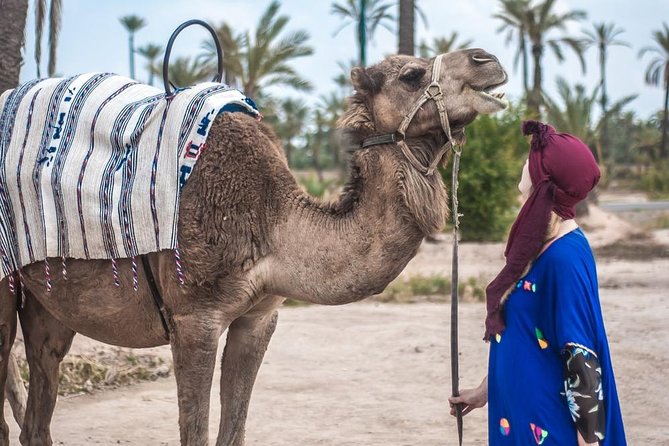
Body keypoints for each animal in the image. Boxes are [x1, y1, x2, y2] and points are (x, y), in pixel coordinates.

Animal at [0, 48, 507, 445]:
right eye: (412, 75)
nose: (488, 61)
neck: (274, 224)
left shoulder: (260, 316)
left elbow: (234, 431)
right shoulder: (195, 318)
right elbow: (196, 433)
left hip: (49, 301)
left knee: (37, 412)